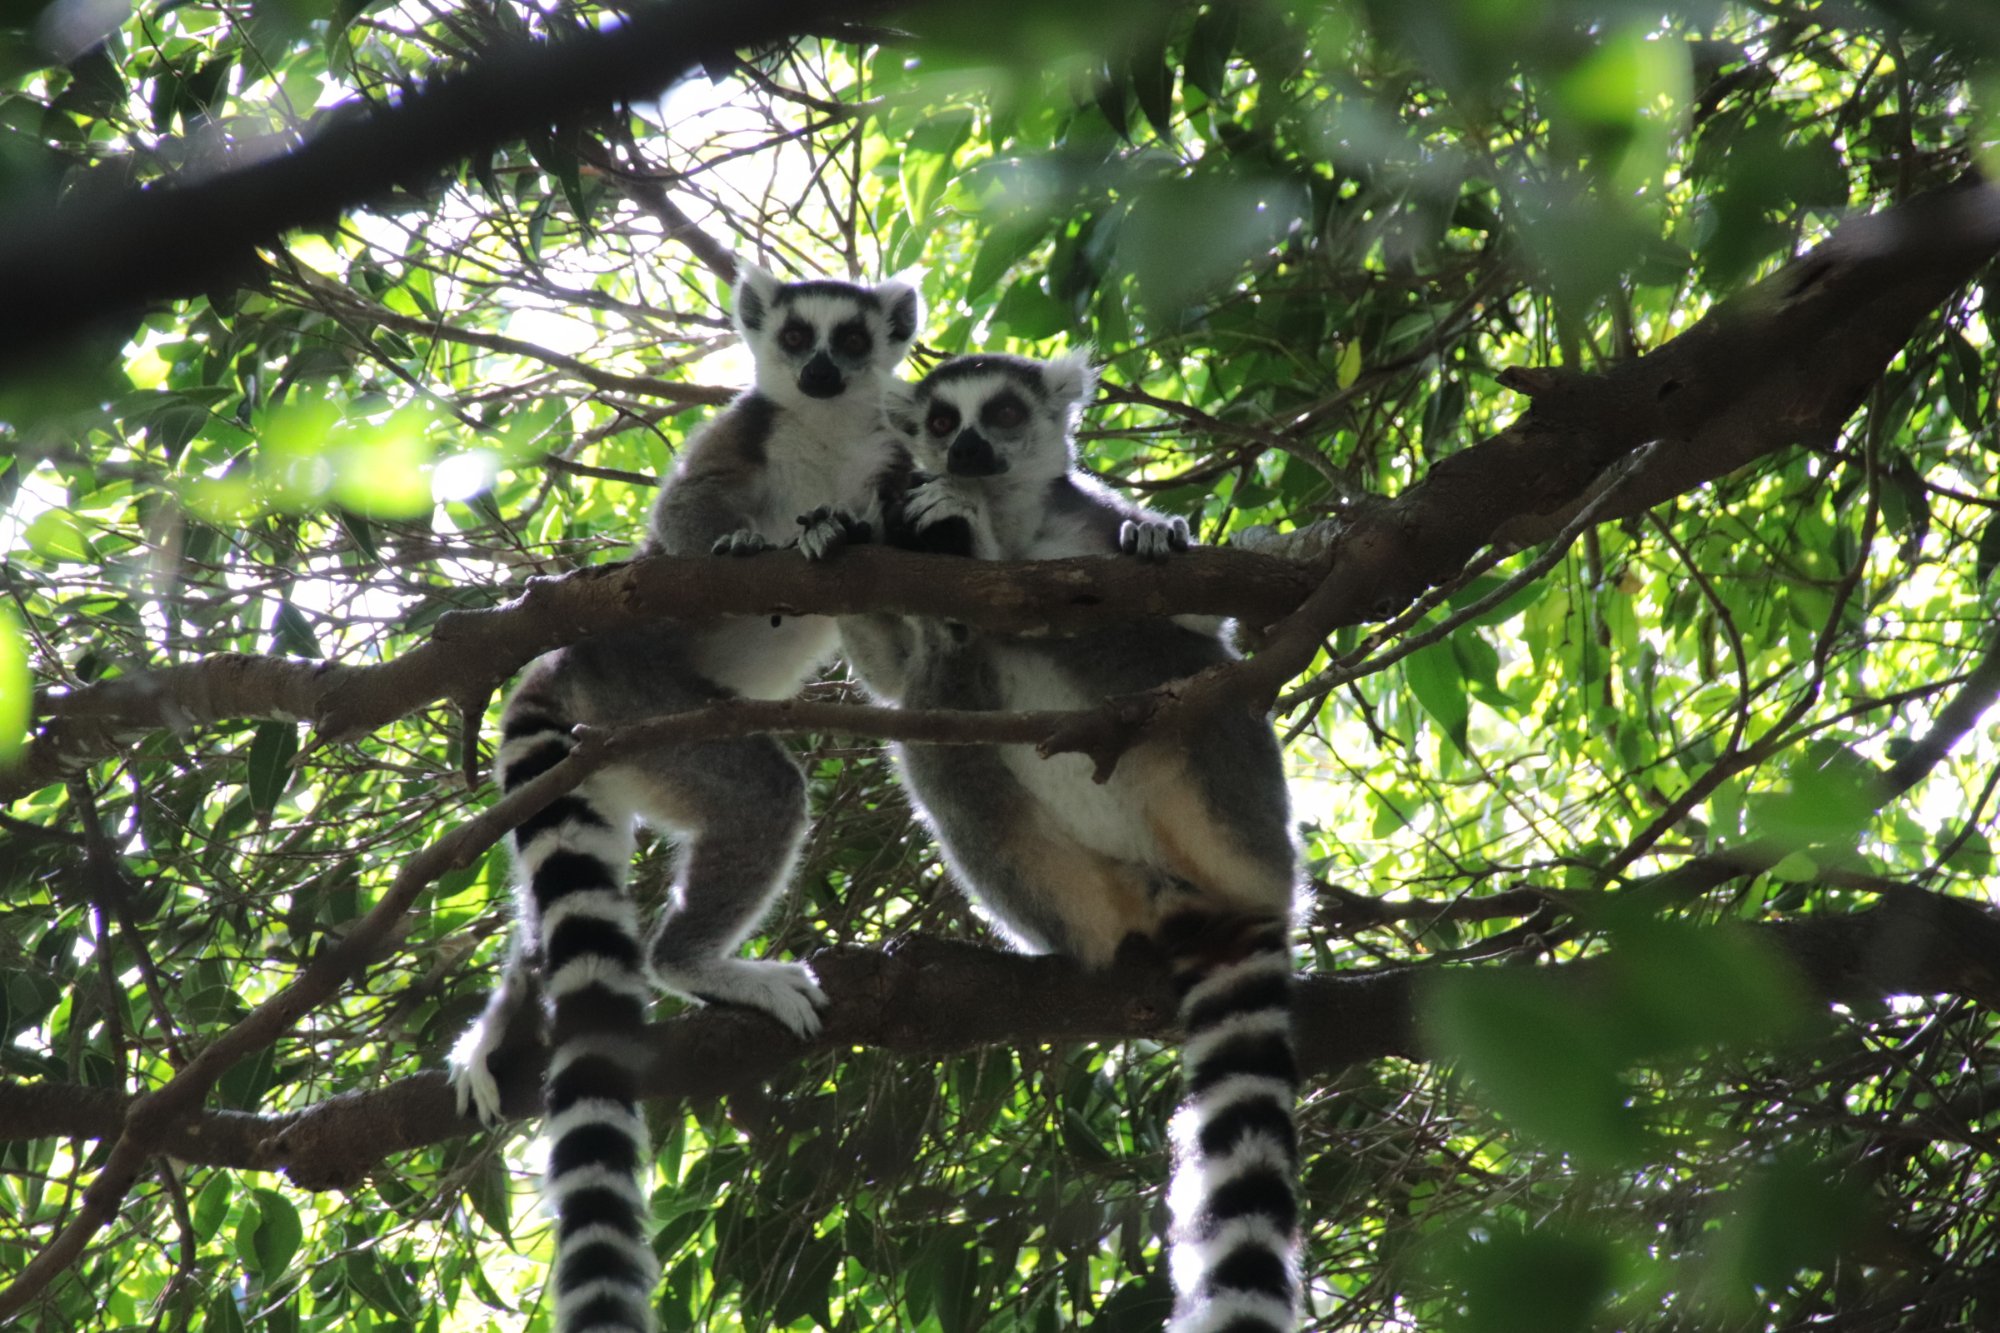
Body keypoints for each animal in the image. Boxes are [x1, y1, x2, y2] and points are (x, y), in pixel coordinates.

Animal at [449, 264, 922, 1333]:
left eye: (848, 339)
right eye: (794, 337)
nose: (821, 369)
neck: (827, 430)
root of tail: (574, 659)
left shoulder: (894, 467)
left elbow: (893, 651)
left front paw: (843, 532)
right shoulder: (739, 436)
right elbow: (684, 514)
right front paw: (749, 539)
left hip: (629, 755)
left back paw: (506, 1016)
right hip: (656, 703)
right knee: (764, 793)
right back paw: (695, 962)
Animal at [838, 351, 1303, 1332]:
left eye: (1005, 414)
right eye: (942, 421)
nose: (968, 451)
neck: (1018, 522)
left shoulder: (1085, 524)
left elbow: (1207, 627)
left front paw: (1149, 534)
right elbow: (893, 674)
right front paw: (840, 529)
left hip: (1234, 805)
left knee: (1168, 665)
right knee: (933, 710)